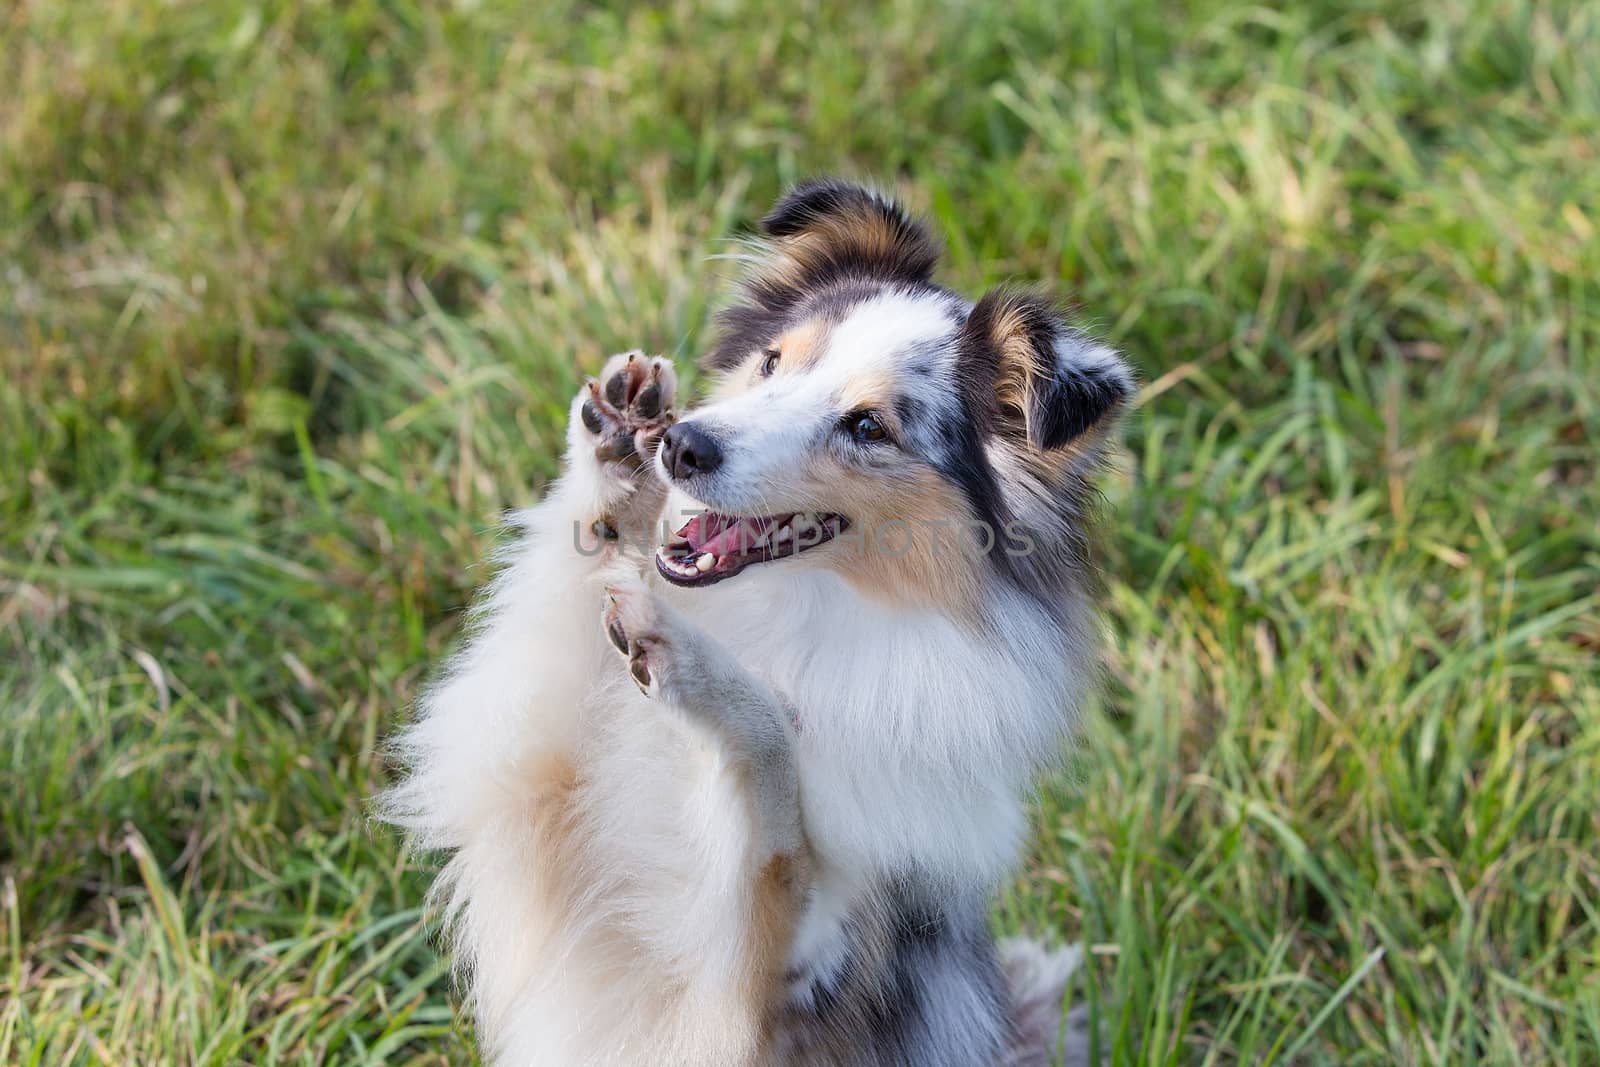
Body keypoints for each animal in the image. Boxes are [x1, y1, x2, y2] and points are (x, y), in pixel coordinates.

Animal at [384, 179, 1139, 1062]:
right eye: (775, 361)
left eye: (868, 427)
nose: (681, 445)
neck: (790, 618)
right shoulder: (526, 790)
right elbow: (561, 619)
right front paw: (616, 461)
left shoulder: (767, 989)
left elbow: (774, 784)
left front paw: (687, 658)